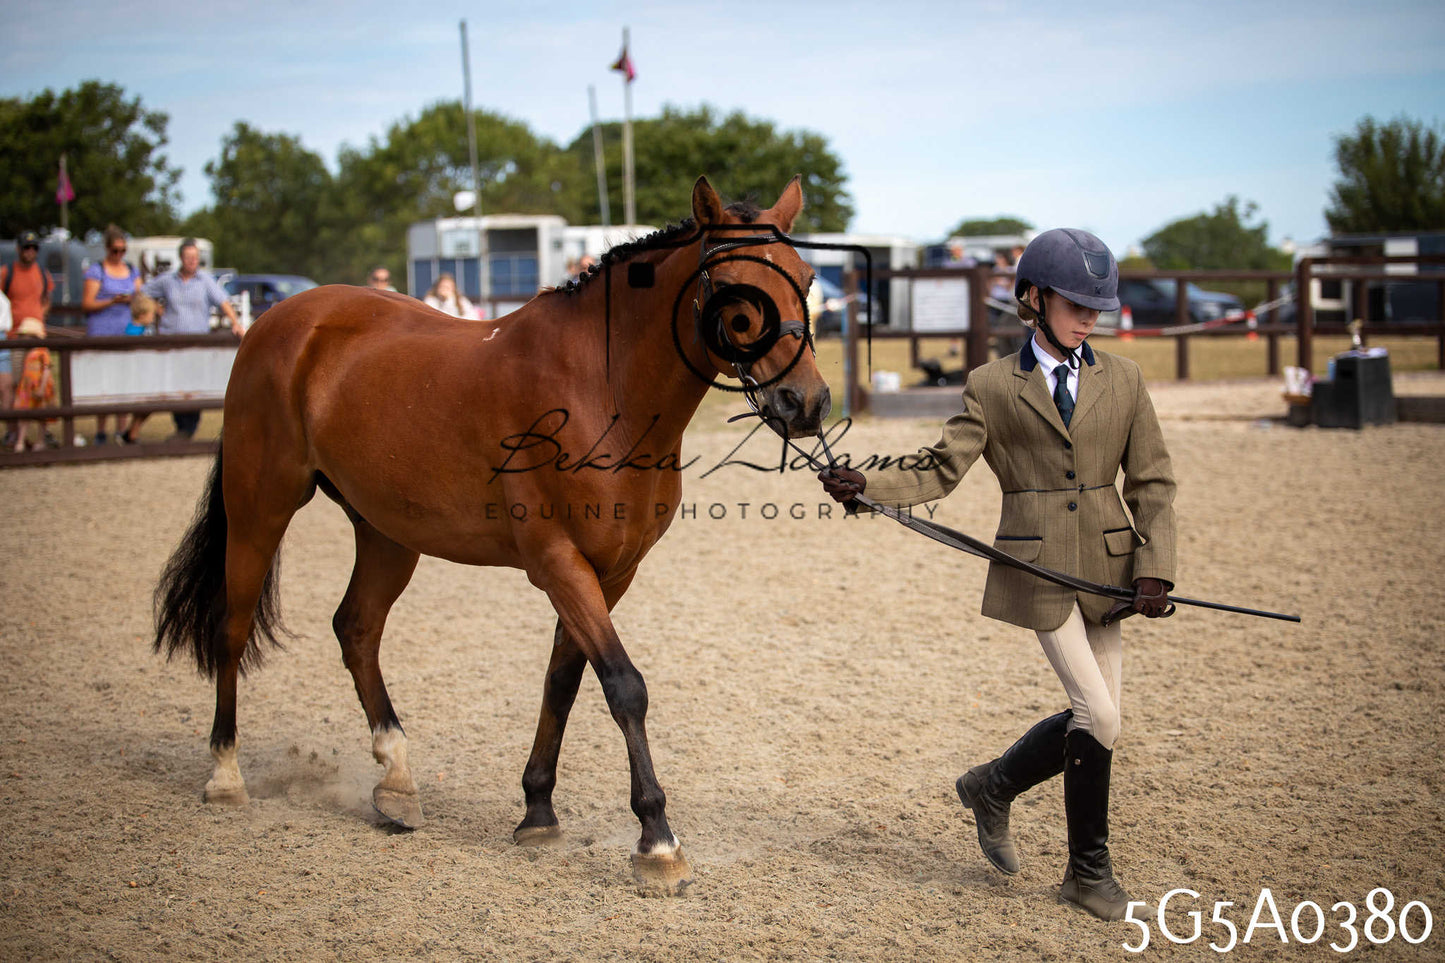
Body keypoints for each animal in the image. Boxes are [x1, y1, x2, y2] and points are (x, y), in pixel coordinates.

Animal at [153, 176, 829, 894]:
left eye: (807, 277)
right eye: (731, 287)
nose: (805, 403)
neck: (601, 387)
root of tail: (278, 320)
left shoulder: (611, 572)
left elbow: (564, 681)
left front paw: (537, 810)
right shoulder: (559, 563)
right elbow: (623, 685)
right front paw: (657, 840)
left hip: (387, 532)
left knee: (356, 629)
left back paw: (397, 780)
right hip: (261, 505)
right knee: (233, 626)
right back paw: (226, 775)